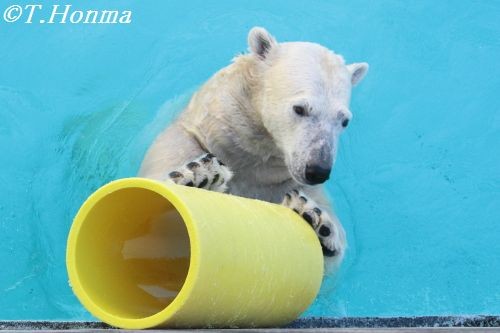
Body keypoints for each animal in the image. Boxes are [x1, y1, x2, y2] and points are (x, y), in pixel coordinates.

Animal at [139, 27, 370, 268]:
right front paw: (199, 178)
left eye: (344, 120)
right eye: (300, 108)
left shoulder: (284, 182)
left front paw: (316, 222)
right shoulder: (189, 134)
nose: (318, 170)